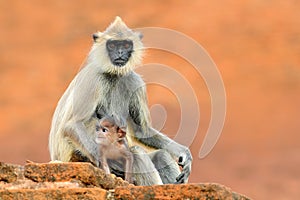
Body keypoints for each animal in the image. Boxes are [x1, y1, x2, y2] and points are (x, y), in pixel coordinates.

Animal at [48, 16, 191, 185]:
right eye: (113, 45)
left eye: (126, 45)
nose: (120, 52)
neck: (113, 74)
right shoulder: (93, 78)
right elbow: (73, 123)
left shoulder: (134, 81)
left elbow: (141, 131)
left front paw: (183, 153)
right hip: (79, 157)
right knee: (135, 152)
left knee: (159, 155)